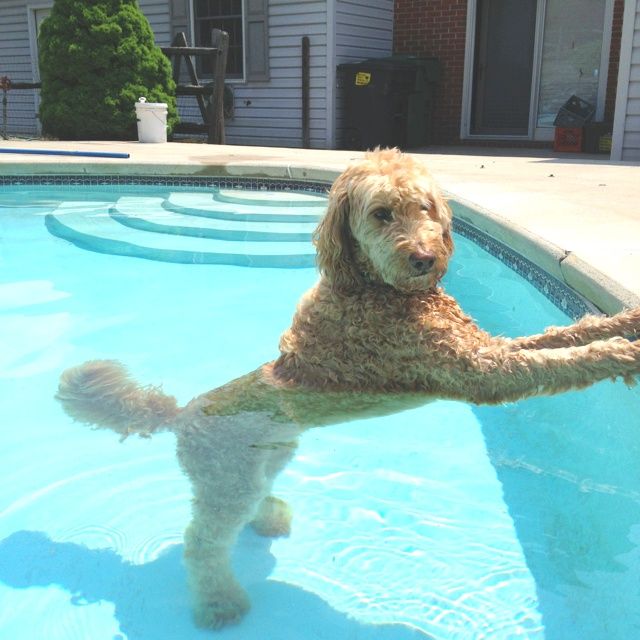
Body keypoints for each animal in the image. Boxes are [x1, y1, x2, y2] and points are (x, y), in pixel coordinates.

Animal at [56, 149, 640, 632]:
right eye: (381, 214)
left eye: (425, 206)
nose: (425, 259)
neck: (379, 289)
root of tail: (181, 412)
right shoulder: (480, 370)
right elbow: (560, 360)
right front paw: (625, 353)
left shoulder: (485, 348)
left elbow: (563, 335)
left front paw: (626, 322)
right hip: (225, 479)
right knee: (202, 543)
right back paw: (219, 603)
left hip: (265, 460)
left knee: (252, 502)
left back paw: (270, 520)